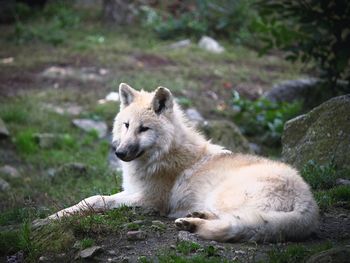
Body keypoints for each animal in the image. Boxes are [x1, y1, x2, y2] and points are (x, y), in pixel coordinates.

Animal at [49, 83, 320, 242]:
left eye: (143, 129)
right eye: (126, 125)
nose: (120, 153)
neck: (161, 155)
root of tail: (309, 202)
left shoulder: (150, 201)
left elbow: (101, 202)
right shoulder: (131, 191)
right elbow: (93, 199)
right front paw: (58, 215)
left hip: (224, 196)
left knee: (234, 224)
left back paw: (192, 223)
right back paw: (194, 217)